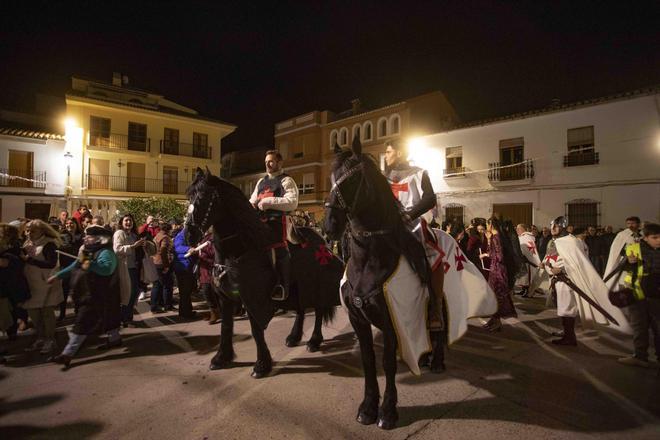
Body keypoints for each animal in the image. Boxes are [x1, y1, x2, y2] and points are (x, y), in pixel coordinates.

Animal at [184, 170, 340, 376]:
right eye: (189, 197)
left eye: (203, 197)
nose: (188, 236)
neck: (239, 249)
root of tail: (321, 239)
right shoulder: (226, 297)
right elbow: (226, 327)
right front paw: (221, 358)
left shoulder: (253, 297)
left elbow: (256, 330)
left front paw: (262, 365)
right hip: (296, 286)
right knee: (300, 309)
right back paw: (294, 337)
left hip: (314, 284)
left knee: (319, 309)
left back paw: (314, 340)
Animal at [322, 138, 430, 430]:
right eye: (332, 179)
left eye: (352, 179)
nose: (328, 226)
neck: (368, 261)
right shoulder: (358, 319)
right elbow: (369, 361)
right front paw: (368, 407)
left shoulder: (392, 320)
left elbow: (387, 363)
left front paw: (388, 411)